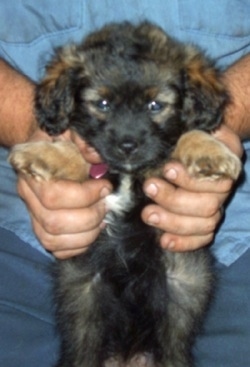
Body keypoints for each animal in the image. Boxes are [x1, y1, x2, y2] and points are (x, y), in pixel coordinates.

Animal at [8, 21, 241, 366]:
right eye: (102, 104)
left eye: (155, 105)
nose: (128, 145)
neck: (129, 175)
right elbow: (84, 155)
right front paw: (42, 153)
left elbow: (181, 138)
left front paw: (210, 151)